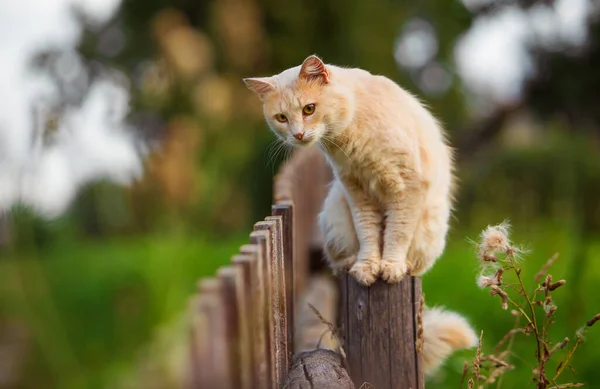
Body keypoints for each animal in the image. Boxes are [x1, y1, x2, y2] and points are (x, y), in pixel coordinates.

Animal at [243, 53, 450, 284]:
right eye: (281, 118)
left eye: (309, 109)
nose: (298, 134)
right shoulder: (356, 191)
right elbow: (367, 232)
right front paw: (367, 267)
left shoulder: (407, 187)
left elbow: (398, 232)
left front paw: (391, 266)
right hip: (334, 215)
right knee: (338, 261)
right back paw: (350, 263)